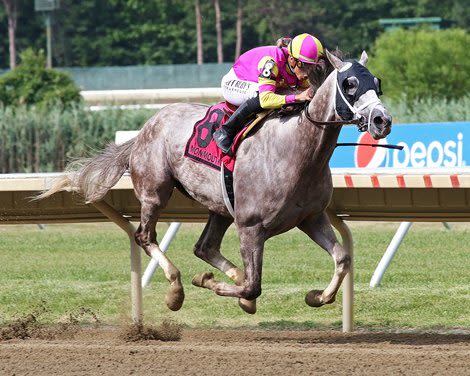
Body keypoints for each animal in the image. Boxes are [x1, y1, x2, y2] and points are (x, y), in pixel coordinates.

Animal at [40, 50, 392, 314]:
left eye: (377, 82)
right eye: (349, 83)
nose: (382, 120)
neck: (296, 151)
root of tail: (144, 129)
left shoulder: (311, 217)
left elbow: (342, 258)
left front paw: (317, 296)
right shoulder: (251, 227)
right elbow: (254, 285)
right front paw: (212, 284)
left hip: (220, 207)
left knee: (204, 246)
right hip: (155, 191)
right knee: (145, 237)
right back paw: (177, 290)